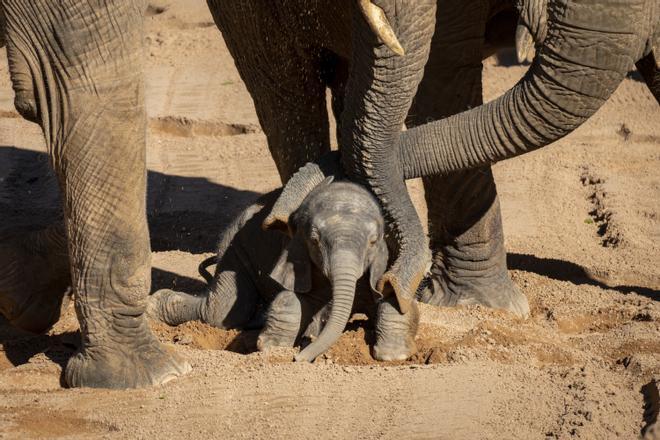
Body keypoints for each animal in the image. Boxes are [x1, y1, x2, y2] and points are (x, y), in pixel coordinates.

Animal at [148, 161, 419, 362]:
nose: (300, 359)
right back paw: (154, 305)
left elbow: (394, 300)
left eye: (373, 241)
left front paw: (393, 355)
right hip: (235, 247)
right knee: (223, 312)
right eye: (314, 240)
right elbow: (293, 298)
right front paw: (273, 348)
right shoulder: (296, 256)